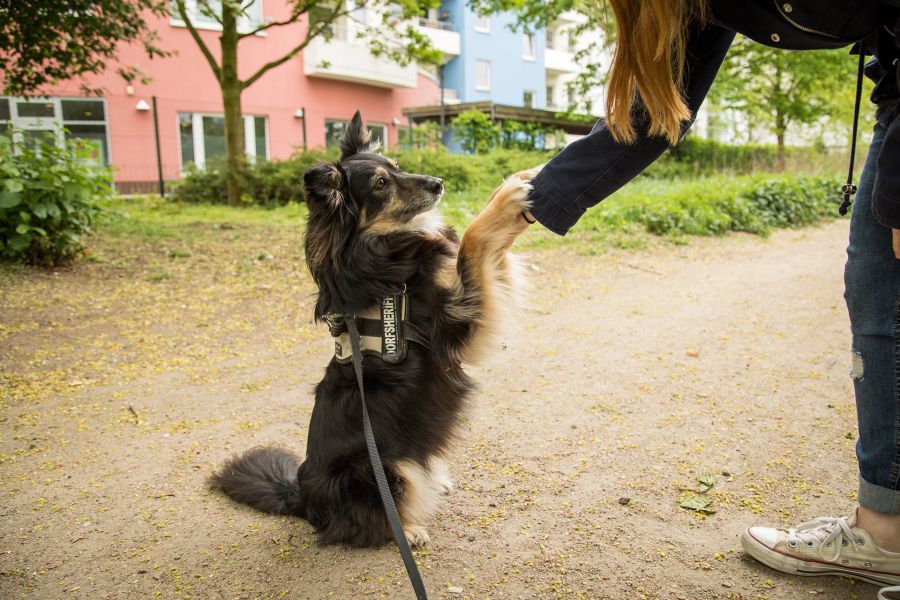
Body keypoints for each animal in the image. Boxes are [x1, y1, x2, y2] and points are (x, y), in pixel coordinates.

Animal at [211, 110, 536, 548]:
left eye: (396, 166)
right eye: (381, 184)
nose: (438, 183)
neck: (378, 256)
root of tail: (302, 499)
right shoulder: (455, 326)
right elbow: (472, 242)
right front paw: (508, 197)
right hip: (378, 469)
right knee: (371, 520)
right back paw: (409, 528)